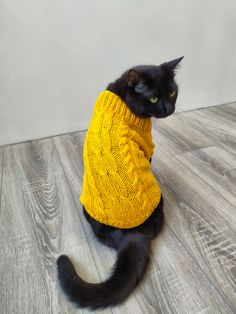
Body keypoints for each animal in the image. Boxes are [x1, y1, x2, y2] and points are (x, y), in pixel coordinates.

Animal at [56, 56, 183, 310]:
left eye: (172, 92)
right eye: (154, 98)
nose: (169, 109)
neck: (122, 98)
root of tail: (133, 234)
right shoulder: (147, 148)